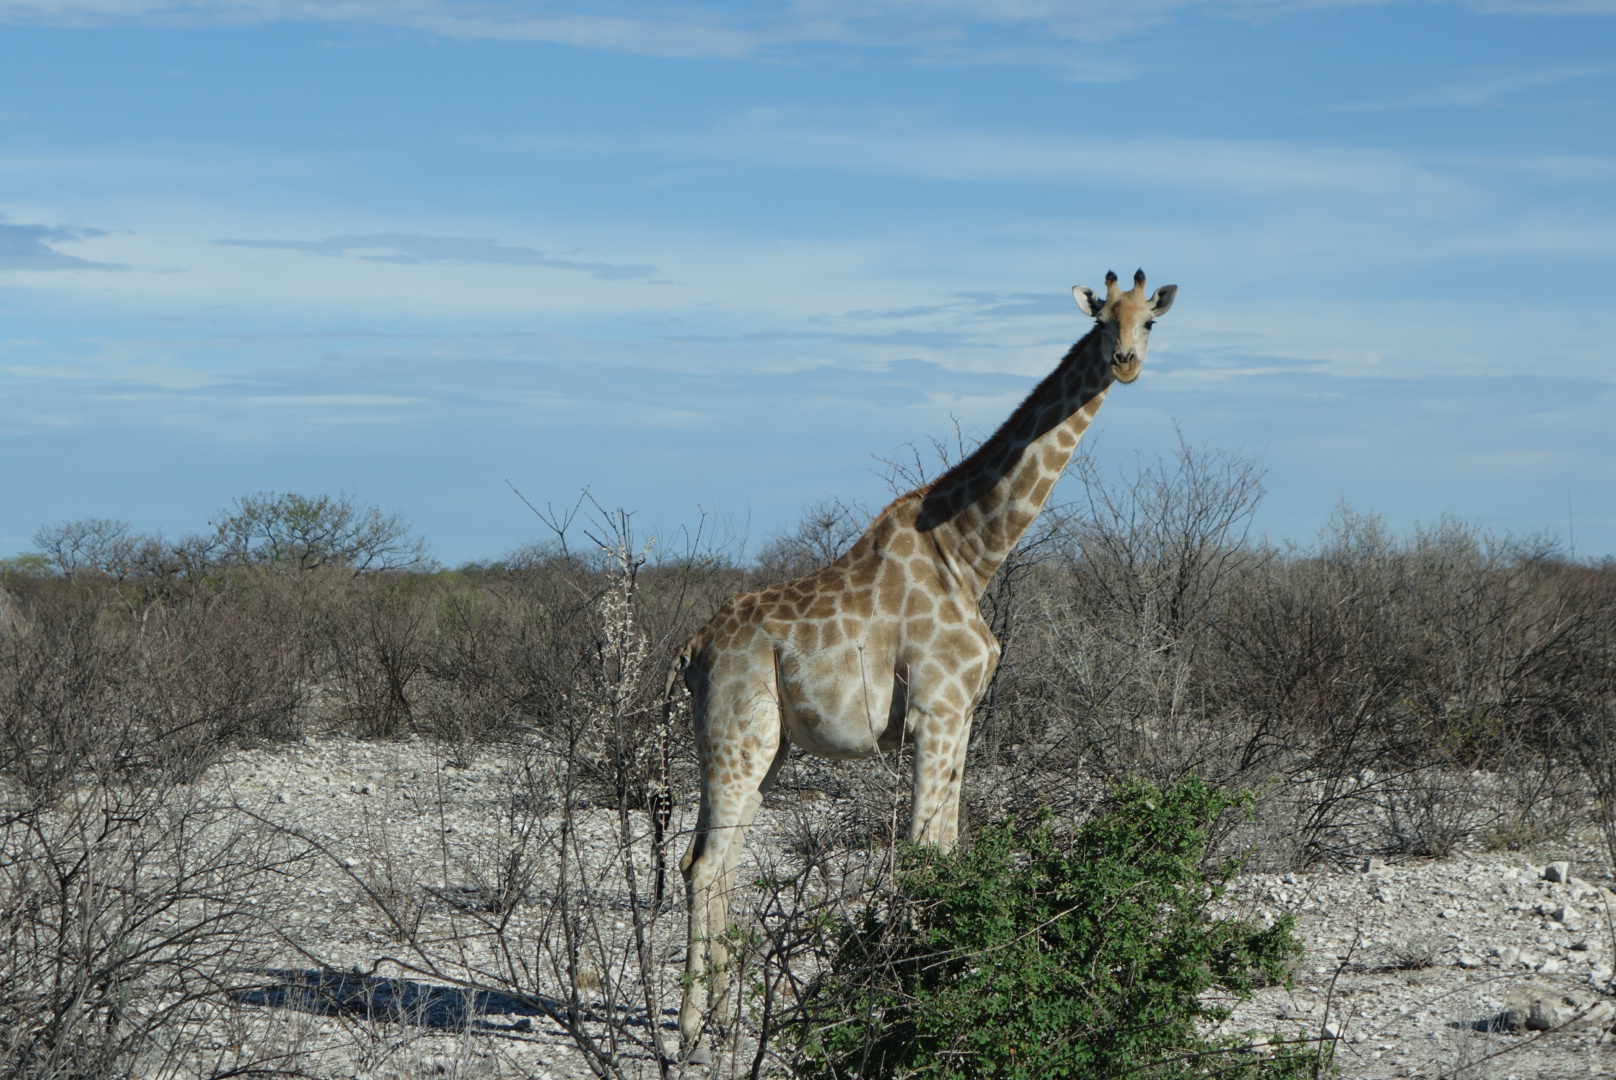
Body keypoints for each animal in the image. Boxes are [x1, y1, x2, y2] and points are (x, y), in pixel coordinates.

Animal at [662, 270, 1182, 1054]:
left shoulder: (962, 715)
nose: (1124, 362)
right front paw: (915, 1005)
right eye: (1100, 322)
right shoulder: (936, 708)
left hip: (766, 744)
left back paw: (727, 1018)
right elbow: (920, 853)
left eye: (1148, 321)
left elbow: (950, 848)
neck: (971, 553)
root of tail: (694, 650)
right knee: (704, 864)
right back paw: (694, 1028)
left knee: (722, 862)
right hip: (736, 733)